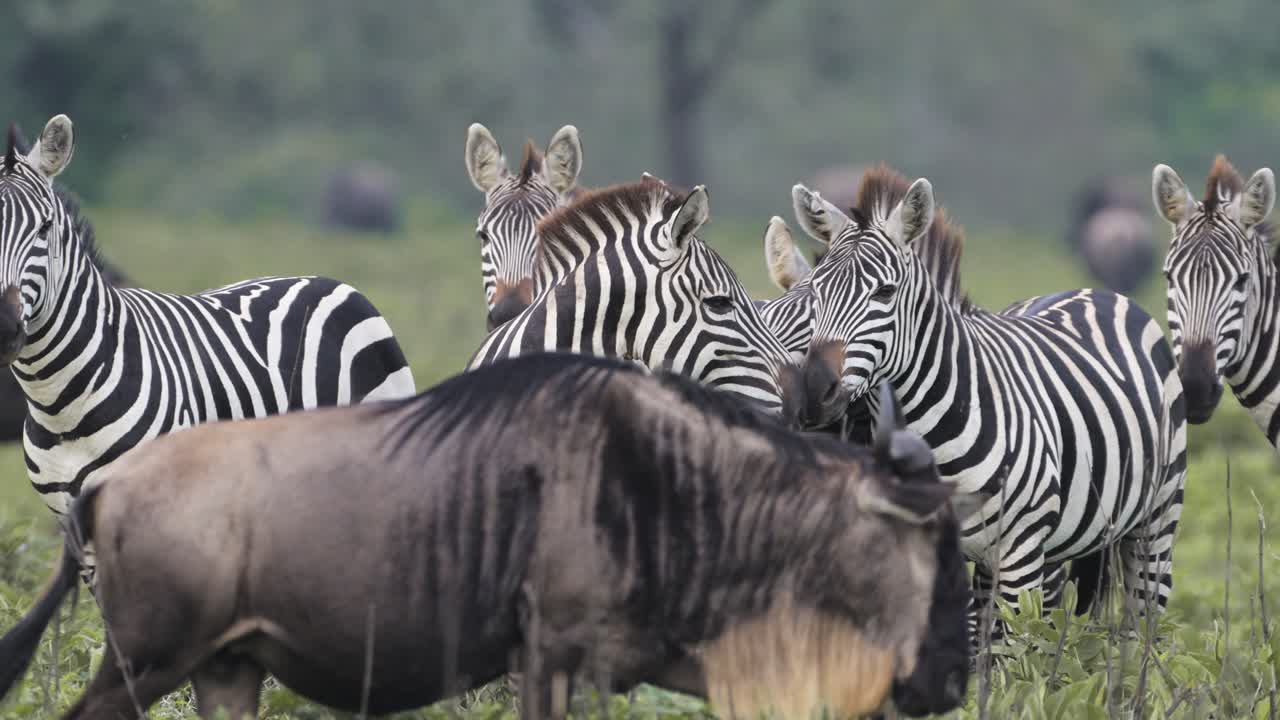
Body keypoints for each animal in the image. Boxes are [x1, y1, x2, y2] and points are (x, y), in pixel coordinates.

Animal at [787, 164, 1186, 635]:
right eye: (815, 291)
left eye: (884, 293)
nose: (815, 391)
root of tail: (1097, 292)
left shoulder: (1020, 552)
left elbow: (1013, 652)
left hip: (1155, 522)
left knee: (1142, 626)